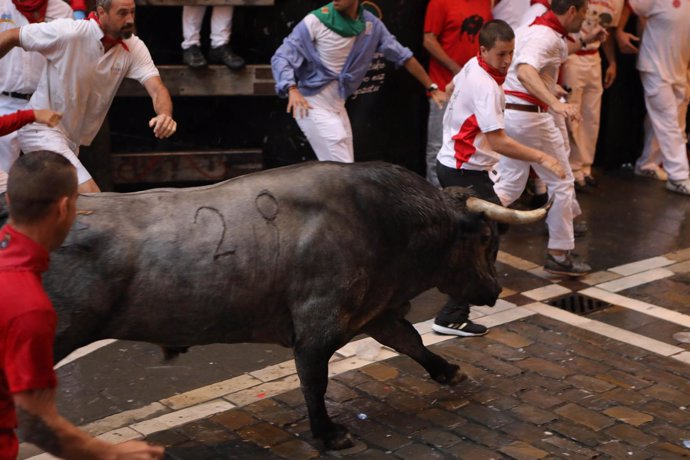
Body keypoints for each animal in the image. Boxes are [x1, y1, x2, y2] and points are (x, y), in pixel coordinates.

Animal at [1, 161, 548, 450]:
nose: (494, 291)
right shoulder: (317, 328)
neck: (381, 218)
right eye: (485, 239)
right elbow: (315, 382)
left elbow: (410, 341)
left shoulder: (374, 311)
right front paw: (328, 435)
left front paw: (448, 371)